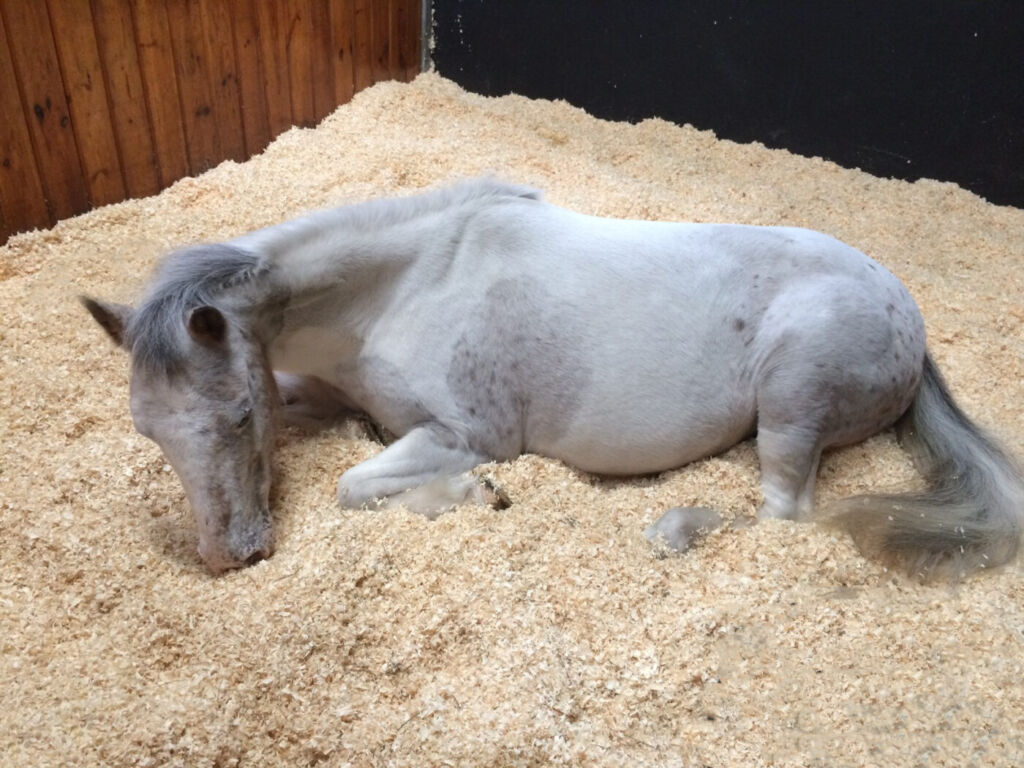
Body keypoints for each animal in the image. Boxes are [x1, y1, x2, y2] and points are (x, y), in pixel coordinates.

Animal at [82, 178, 1023, 577]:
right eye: (148, 431)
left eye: (238, 415)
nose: (228, 557)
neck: (405, 285)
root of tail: (908, 317)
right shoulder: (330, 394)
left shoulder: (465, 432)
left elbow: (356, 485)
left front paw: (473, 496)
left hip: (791, 408)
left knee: (785, 516)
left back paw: (675, 529)